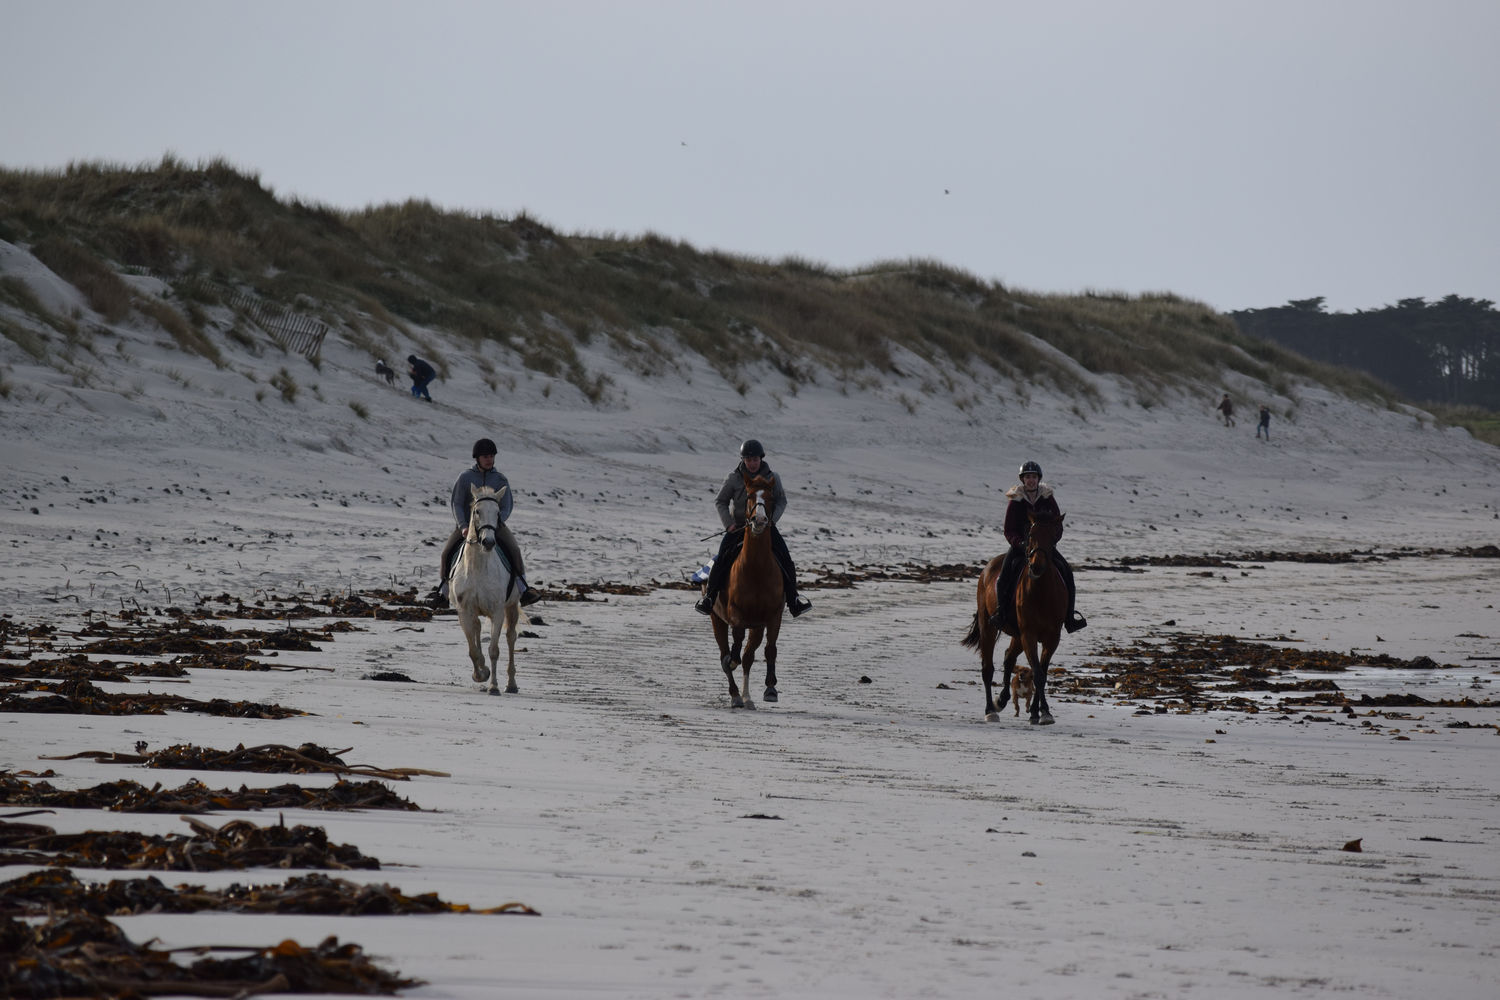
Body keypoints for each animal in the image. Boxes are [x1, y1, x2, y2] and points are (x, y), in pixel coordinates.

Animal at [450, 485, 522, 695]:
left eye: (497, 513)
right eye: (477, 511)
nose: (488, 542)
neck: (477, 568)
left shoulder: (497, 612)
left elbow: (494, 650)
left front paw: (493, 686)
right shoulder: (464, 611)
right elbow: (472, 649)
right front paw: (481, 674)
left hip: (512, 606)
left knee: (510, 638)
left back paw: (511, 684)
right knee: (477, 629)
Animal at [708, 473, 786, 707]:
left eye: (770, 497)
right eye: (750, 496)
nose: (759, 521)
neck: (756, 569)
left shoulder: (773, 616)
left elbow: (770, 649)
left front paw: (770, 688)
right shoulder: (736, 614)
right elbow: (735, 646)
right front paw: (730, 661)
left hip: (757, 627)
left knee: (749, 657)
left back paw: (747, 697)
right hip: (717, 620)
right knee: (725, 652)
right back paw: (735, 695)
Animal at [960, 512, 1068, 722]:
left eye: (1053, 536)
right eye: (1030, 534)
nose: (1036, 566)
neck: (1042, 593)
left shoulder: (1052, 637)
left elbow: (1041, 672)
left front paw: (1040, 712)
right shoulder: (1029, 634)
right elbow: (1038, 673)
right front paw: (1043, 712)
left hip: (1017, 636)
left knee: (1009, 658)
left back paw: (1002, 700)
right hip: (989, 626)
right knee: (987, 668)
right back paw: (990, 710)